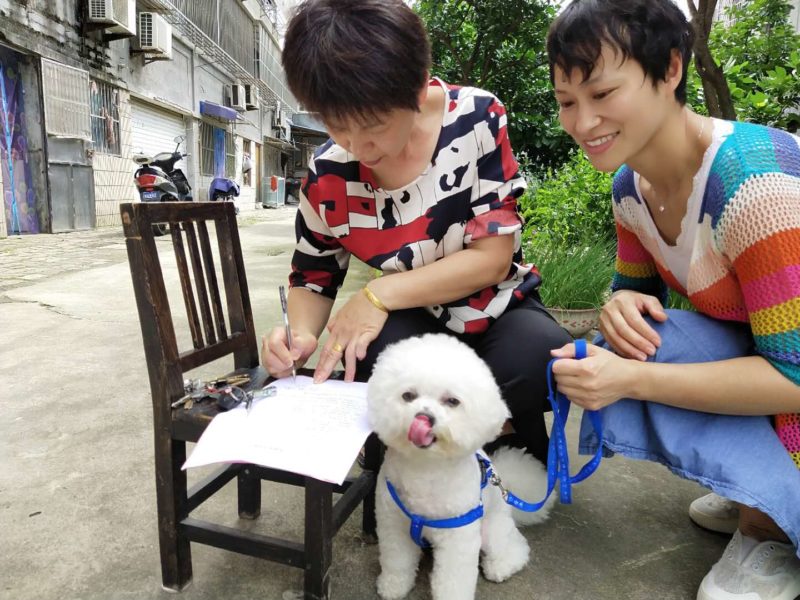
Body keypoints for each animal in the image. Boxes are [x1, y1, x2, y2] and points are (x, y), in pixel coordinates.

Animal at [367, 333, 553, 600]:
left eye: (452, 401)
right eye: (408, 396)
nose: (424, 418)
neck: (426, 468)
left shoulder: (459, 537)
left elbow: (453, 580)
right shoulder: (394, 524)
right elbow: (397, 561)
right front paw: (394, 586)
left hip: (490, 531)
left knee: (513, 546)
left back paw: (501, 566)